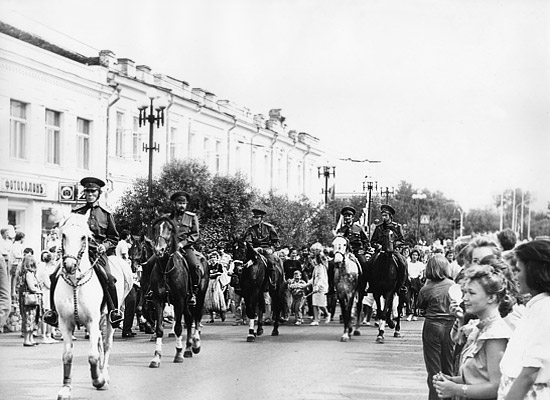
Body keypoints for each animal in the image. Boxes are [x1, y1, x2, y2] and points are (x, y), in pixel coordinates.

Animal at [54, 212, 134, 400]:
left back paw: (104, 374)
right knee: (99, 344)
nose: (69, 266)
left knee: (106, 344)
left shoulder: (92, 321)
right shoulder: (65, 323)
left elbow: (92, 355)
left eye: (84, 237)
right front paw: (66, 388)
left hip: (109, 320)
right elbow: (67, 356)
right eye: (64, 235)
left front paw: (98, 380)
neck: (76, 283)